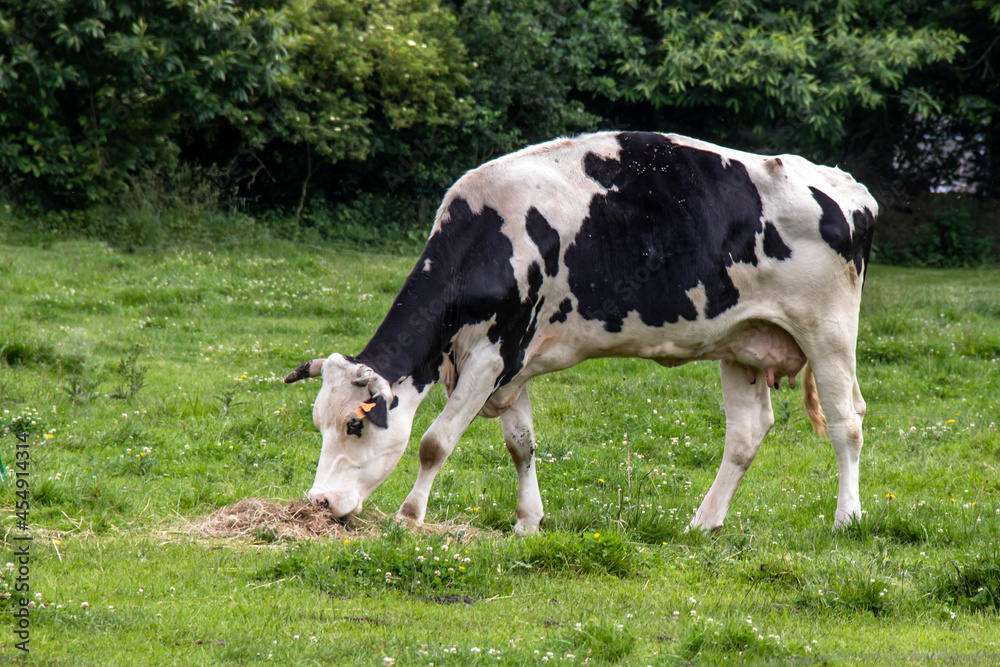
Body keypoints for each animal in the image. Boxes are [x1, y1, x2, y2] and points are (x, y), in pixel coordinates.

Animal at [284, 132, 876, 532]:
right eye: (317, 424)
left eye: (355, 425)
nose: (319, 503)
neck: (485, 242)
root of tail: (847, 187)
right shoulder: (512, 367)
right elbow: (521, 445)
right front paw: (527, 521)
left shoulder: (493, 355)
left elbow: (434, 442)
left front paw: (410, 516)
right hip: (743, 342)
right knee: (747, 433)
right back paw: (703, 523)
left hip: (829, 331)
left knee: (846, 421)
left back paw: (847, 518)